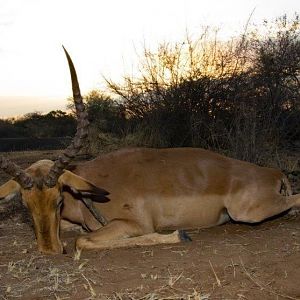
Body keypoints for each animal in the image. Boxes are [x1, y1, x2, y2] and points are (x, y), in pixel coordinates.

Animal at [0, 48, 300, 253]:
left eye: (58, 200)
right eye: (26, 204)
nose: (49, 250)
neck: (88, 193)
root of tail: (273, 172)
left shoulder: (133, 224)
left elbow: (83, 241)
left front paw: (179, 235)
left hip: (246, 213)